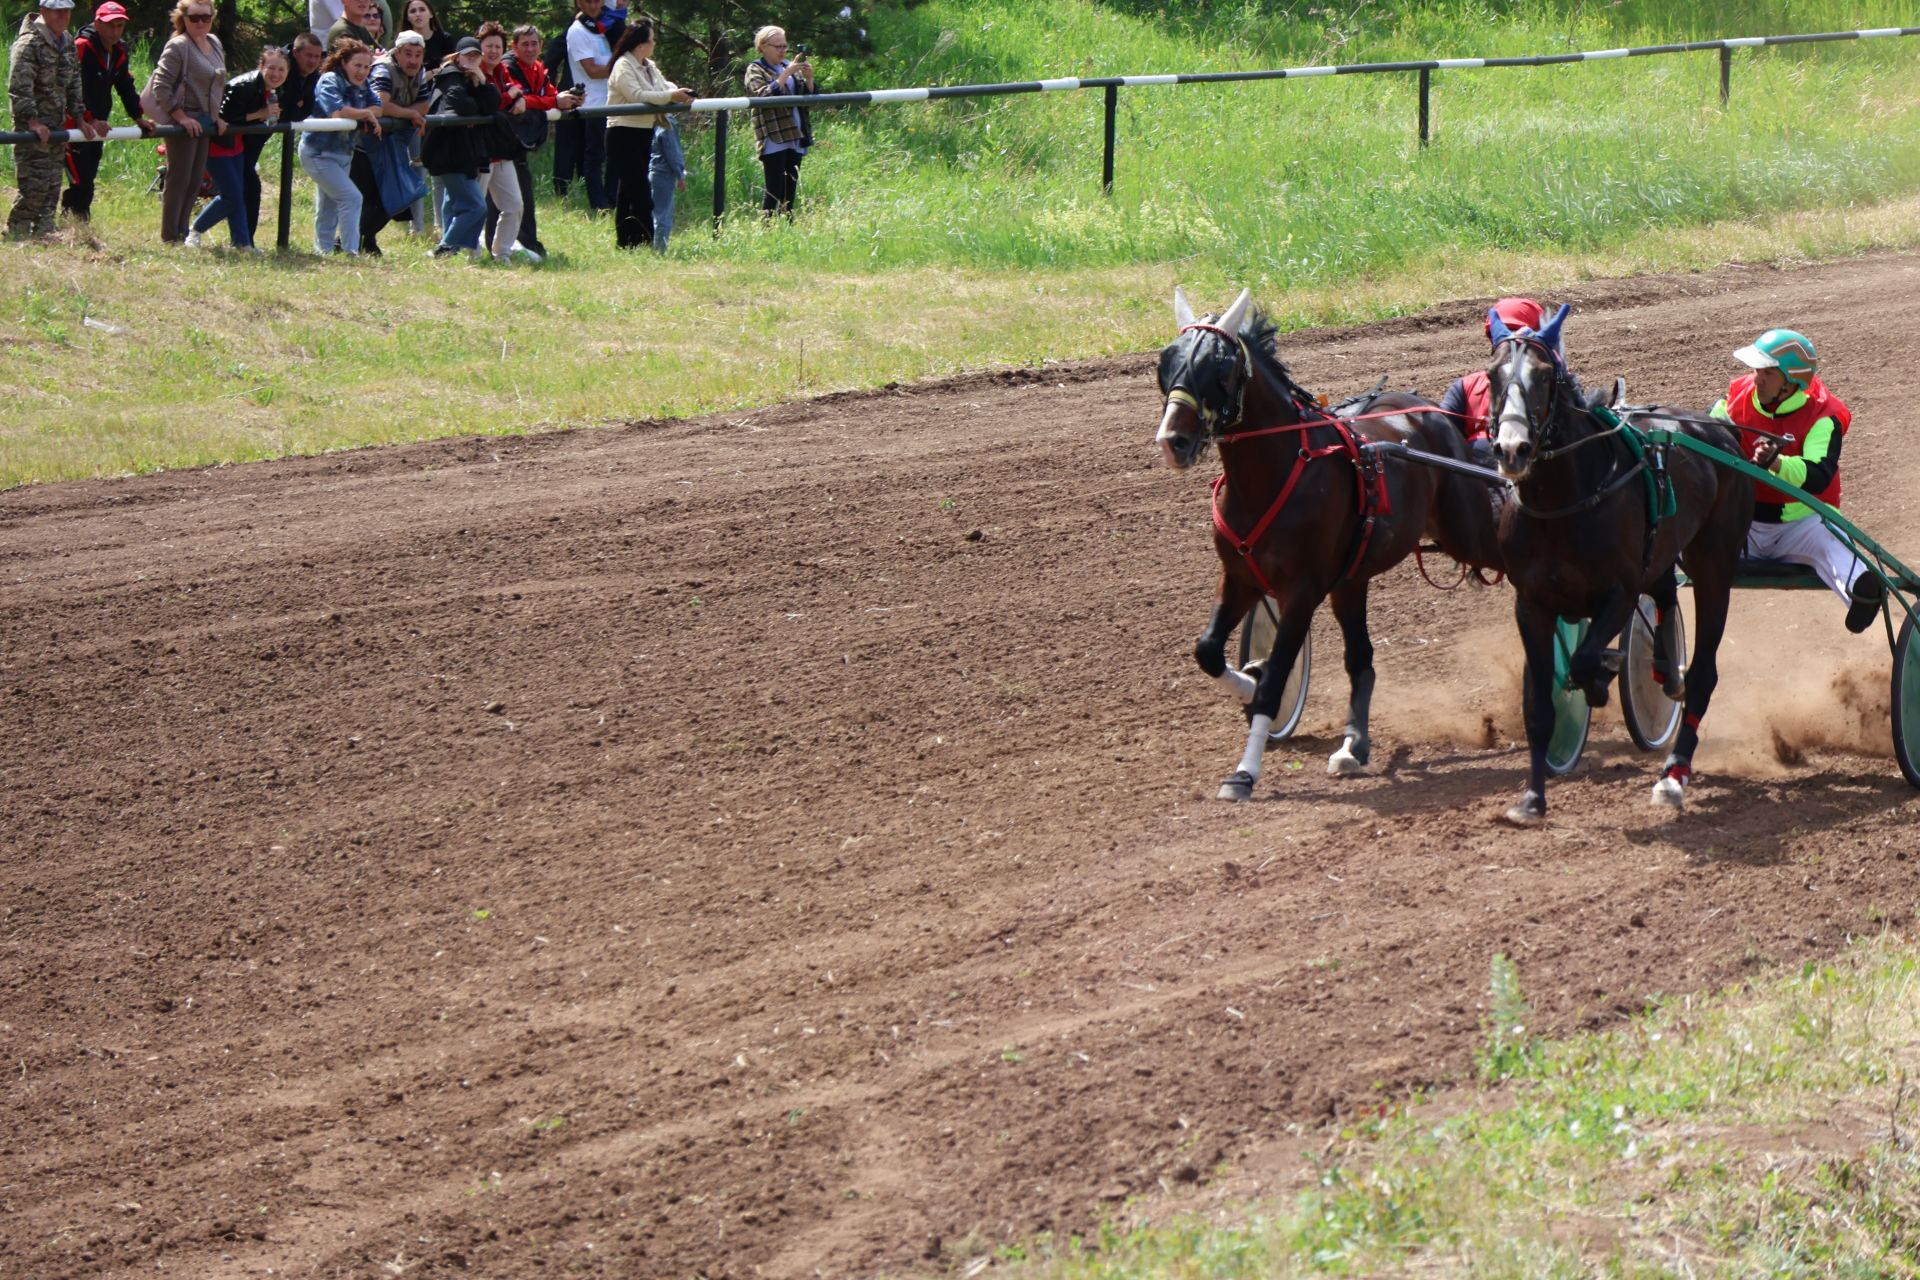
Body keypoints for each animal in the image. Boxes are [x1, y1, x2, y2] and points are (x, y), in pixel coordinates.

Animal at [1152, 289, 1497, 802]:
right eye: (1166, 362)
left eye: (1220, 367)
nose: (1172, 441)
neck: (1275, 473)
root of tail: (1428, 410)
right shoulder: (1239, 579)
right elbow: (1209, 651)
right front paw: (1250, 681)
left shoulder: (1302, 591)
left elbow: (1276, 678)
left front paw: (1245, 771)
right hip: (1351, 582)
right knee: (1362, 660)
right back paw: (1353, 746)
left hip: (1466, 531)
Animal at [1482, 303, 1758, 821]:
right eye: (1492, 375)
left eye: (1544, 375)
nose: (1512, 449)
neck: (1563, 502)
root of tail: (1721, 434)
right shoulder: (1530, 604)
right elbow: (1539, 706)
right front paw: (1532, 797)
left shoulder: (1620, 591)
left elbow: (1586, 657)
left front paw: (1599, 679)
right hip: (1665, 549)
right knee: (1666, 593)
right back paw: (1666, 670)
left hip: (1715, 561)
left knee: (1704, 672)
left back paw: (1673, 773)